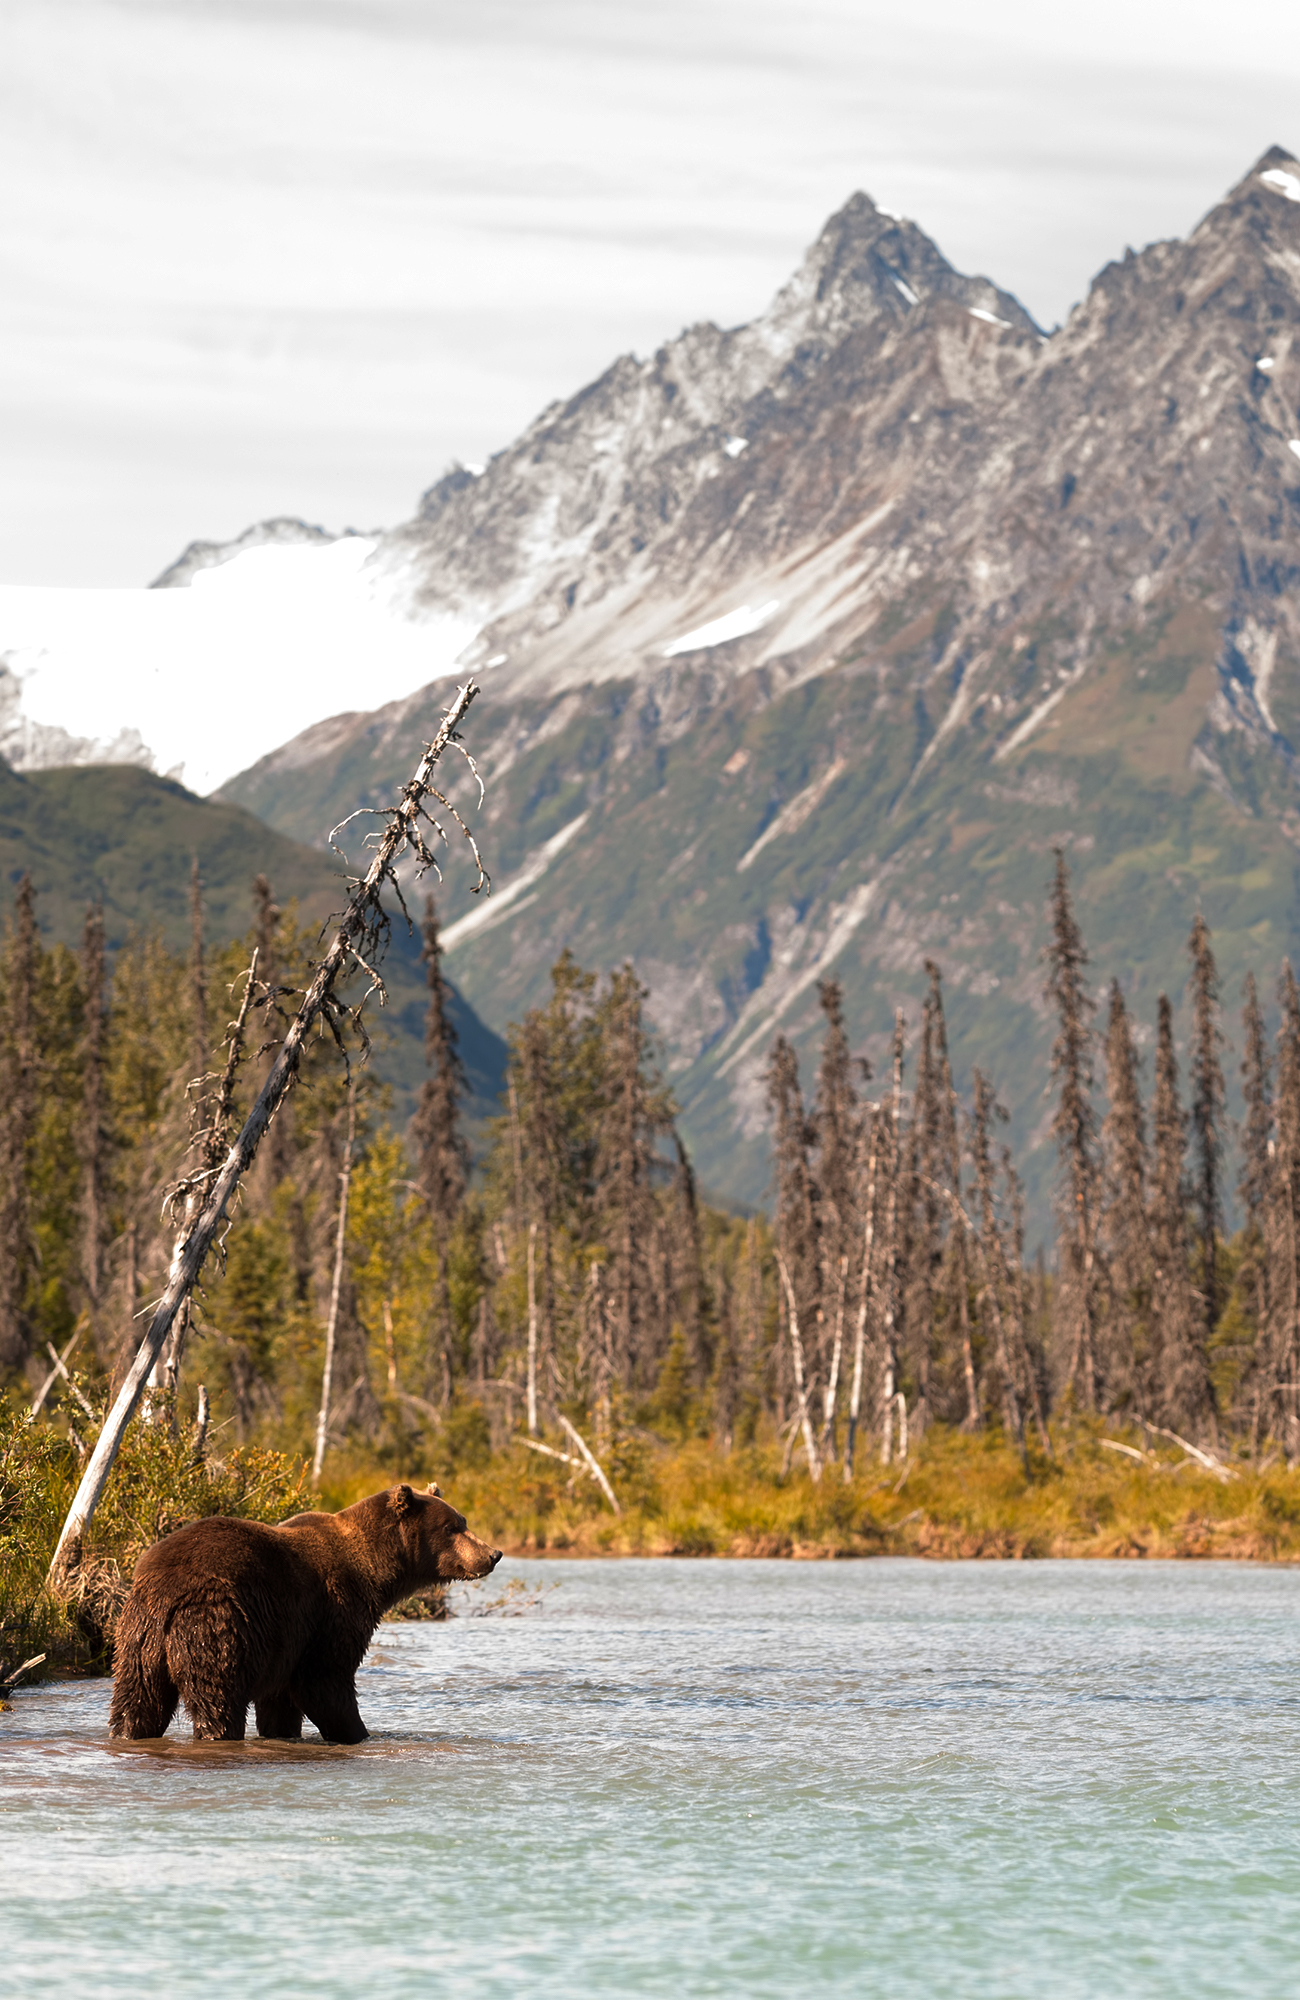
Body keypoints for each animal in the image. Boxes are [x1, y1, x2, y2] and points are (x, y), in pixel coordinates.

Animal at [108, 1481, 501, 1744]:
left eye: (463, 1520)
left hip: (138, 1638)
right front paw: (357, 1732)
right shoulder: (332, 1611)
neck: (375, 1569)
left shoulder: (283, 1643)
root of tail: (167, 1592)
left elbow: (280, 1702)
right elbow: (326, 1680)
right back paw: (217, 1734)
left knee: (138, 1699)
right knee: (216, 1698)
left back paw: (128, 1733)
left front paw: (282, 1733)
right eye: (452, 1527)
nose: (493, 1554)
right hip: (216, 1624)